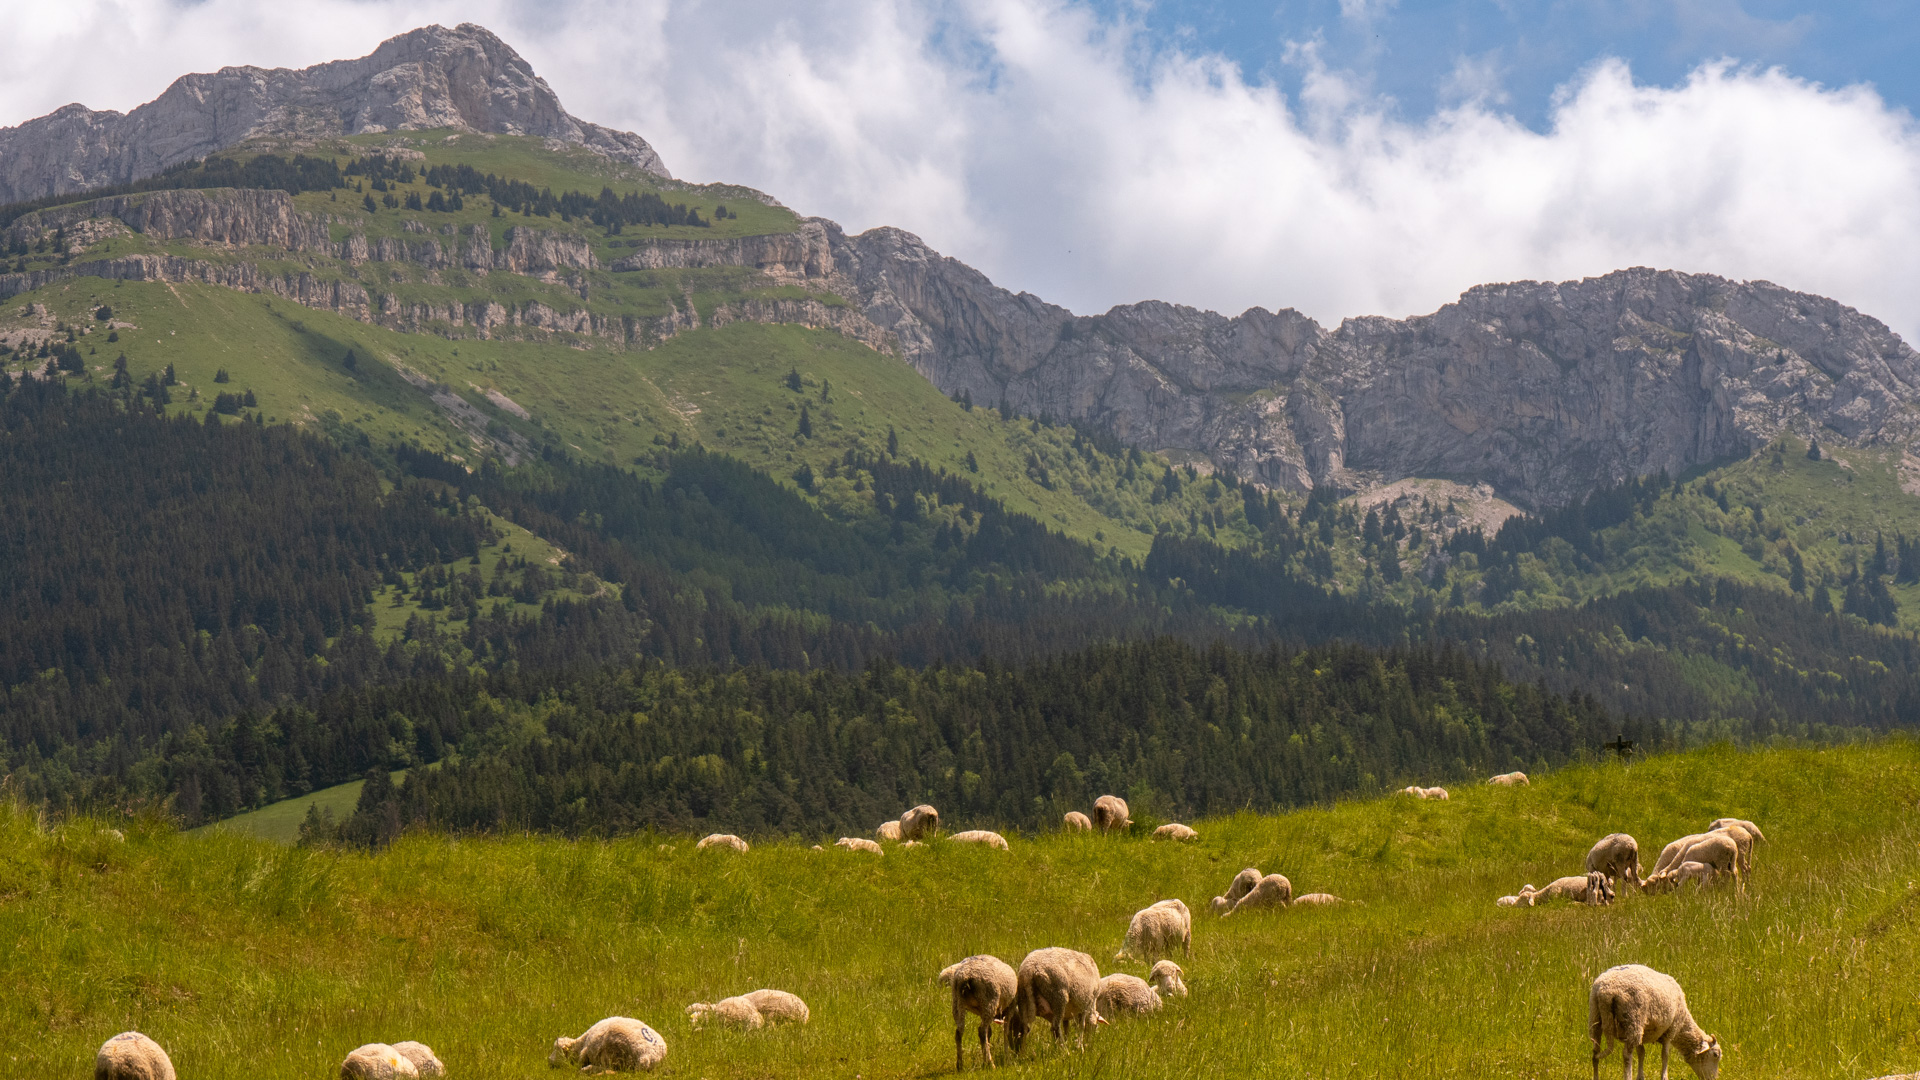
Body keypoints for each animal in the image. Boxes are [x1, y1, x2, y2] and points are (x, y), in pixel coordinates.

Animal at [1589, 957, 1728, 1076]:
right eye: (1715, 1055)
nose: (1714, 1078)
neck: (1683, 1025)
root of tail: (1607, 991)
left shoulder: (1644, 1033)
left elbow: (1642, 1053)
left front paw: (1641, 1076)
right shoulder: (1670, 1031)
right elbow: (1665, 1056)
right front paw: (1664, 1076)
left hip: (1596, 1016)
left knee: (1595, 1053)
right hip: (1634, 1020)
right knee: (1627, 1056)